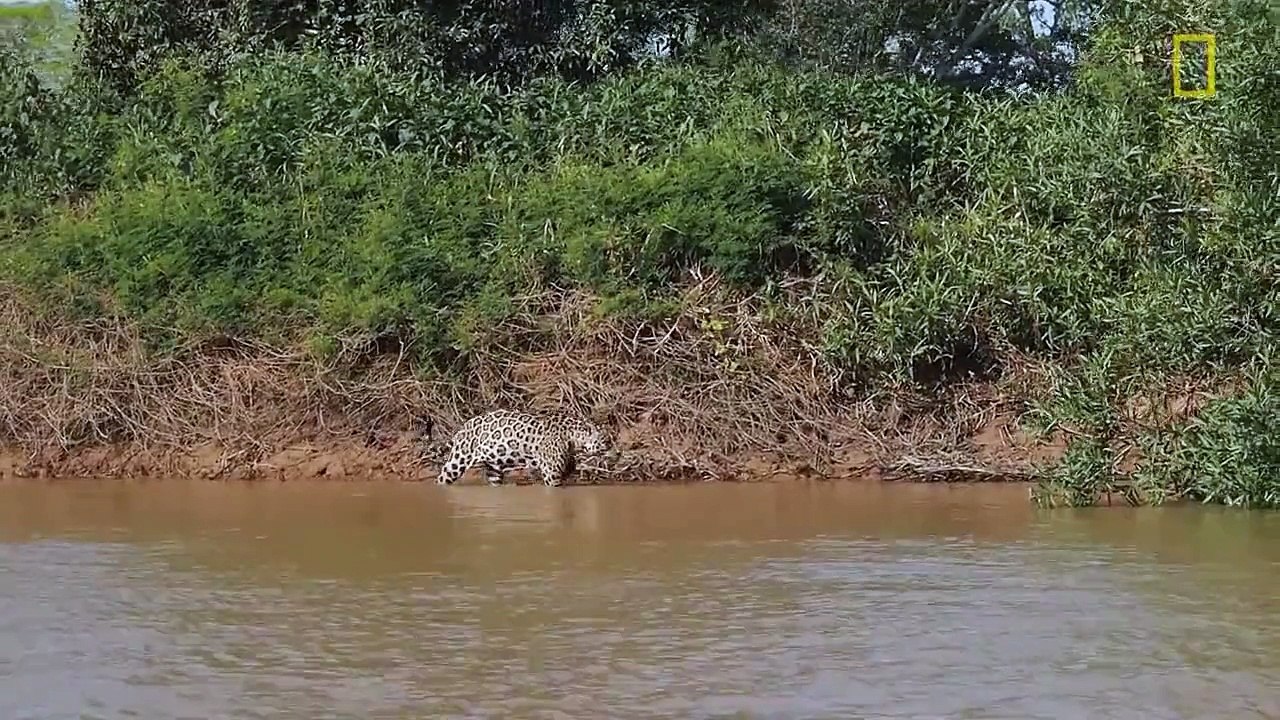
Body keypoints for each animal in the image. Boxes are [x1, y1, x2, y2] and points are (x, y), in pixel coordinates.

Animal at [428, 409, 615, 487]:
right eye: (607, 441)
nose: (618, 452)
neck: (572, 437)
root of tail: (464, 426)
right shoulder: (551, 473)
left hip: (494, 467)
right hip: (458, 460)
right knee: (443, 477)